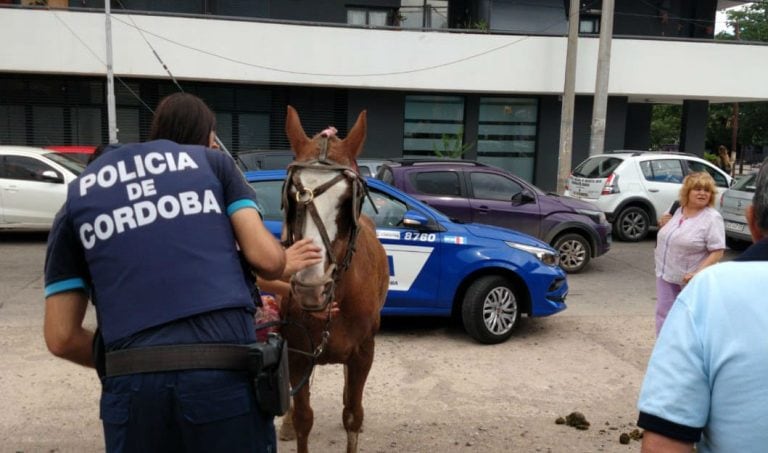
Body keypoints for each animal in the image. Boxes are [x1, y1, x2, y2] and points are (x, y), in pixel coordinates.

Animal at [280, 107, 390, 452]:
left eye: (347, 202)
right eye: (293, 196)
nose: (311, 287)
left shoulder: (363, 353)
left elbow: (352, 415)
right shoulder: (297, 353)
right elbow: (304, 418)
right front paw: (295, 421)